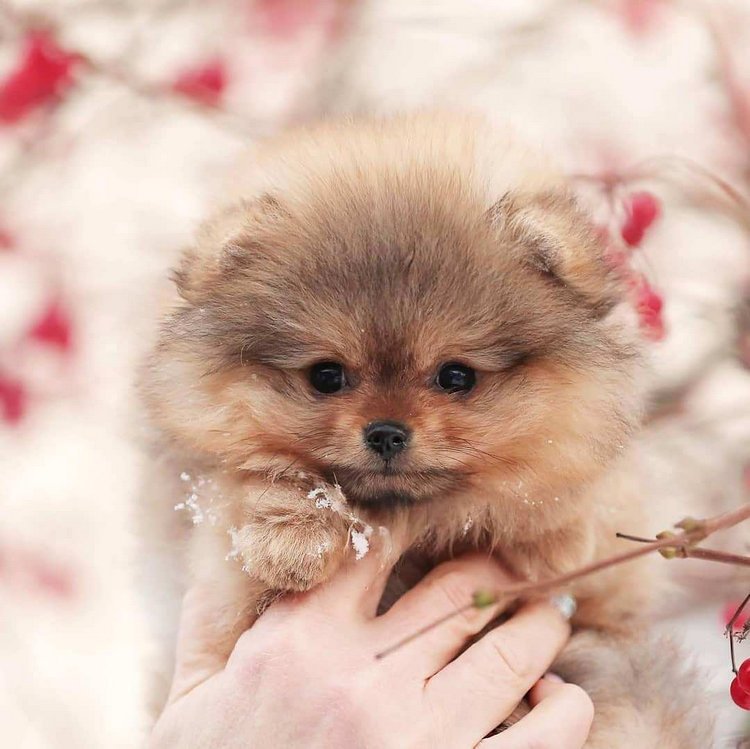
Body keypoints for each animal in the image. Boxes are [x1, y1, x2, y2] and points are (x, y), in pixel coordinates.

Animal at [144, 114, 712, 744]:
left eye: (455, 375)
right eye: (326, 375)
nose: (387, 432)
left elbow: (573, 495)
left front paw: (553, 533)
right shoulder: (223, 575)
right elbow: (255, 480)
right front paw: (291, 537)